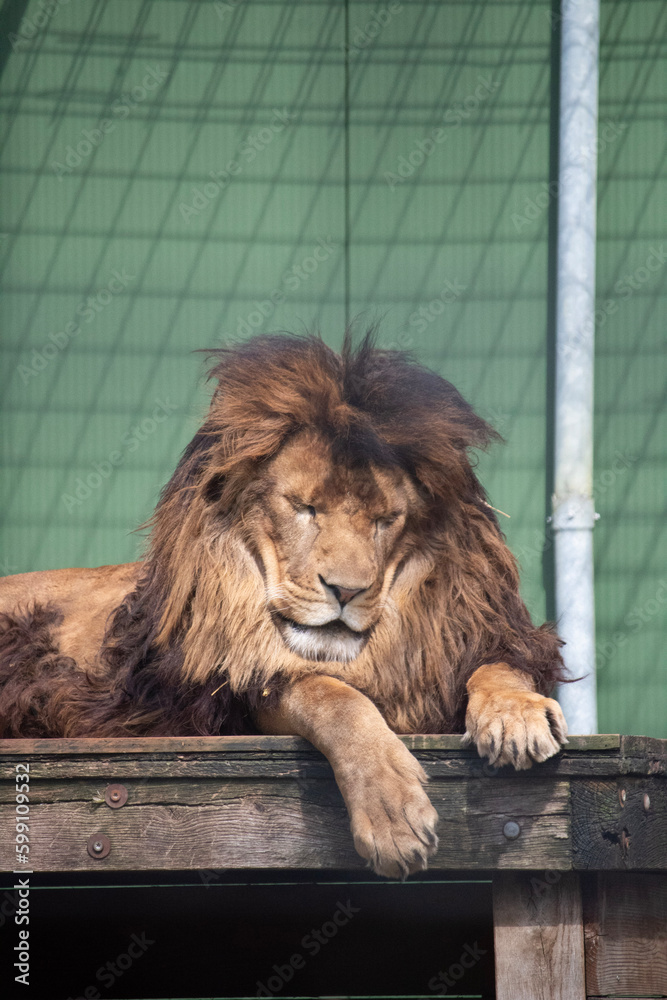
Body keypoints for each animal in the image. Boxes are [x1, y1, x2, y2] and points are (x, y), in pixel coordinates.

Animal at [0, 331, 568, 878]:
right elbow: (333, 698)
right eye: (304, 507)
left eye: (385, 519)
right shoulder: (243, 690)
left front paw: (517, 716)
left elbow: (497, 666)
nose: (346, 590)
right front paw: (392, 816)